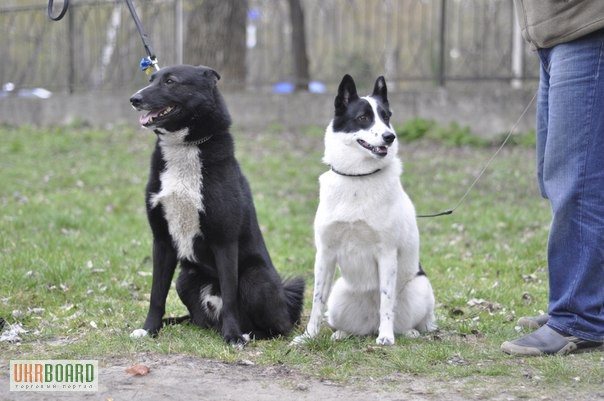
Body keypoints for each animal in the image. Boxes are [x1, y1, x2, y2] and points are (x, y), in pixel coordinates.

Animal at [129, 64, 304, 346]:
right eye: (152, 79)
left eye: (170, 81)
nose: (134, 99)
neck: (185, 147)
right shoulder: (162, 240)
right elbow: (157, 294)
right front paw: (149, 329)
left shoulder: (225, 241)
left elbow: (230, 296)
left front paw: (232, 336)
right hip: (185, 278)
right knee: (196, 318)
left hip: (256, 279)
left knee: (279, 328)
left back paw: (246, 333)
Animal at [292, 76, 434, 346]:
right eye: (363, 117)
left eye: (386, 116)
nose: (390, 137)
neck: (357, 178)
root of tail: (370, 324)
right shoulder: (325, 254)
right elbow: (316, 301)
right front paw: (308, 336)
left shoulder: (387, 254)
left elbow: (387, 299)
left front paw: (386, 337)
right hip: (339, 295)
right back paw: (341, 333)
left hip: (421, 286)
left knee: (414, 321)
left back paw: (405, 332)